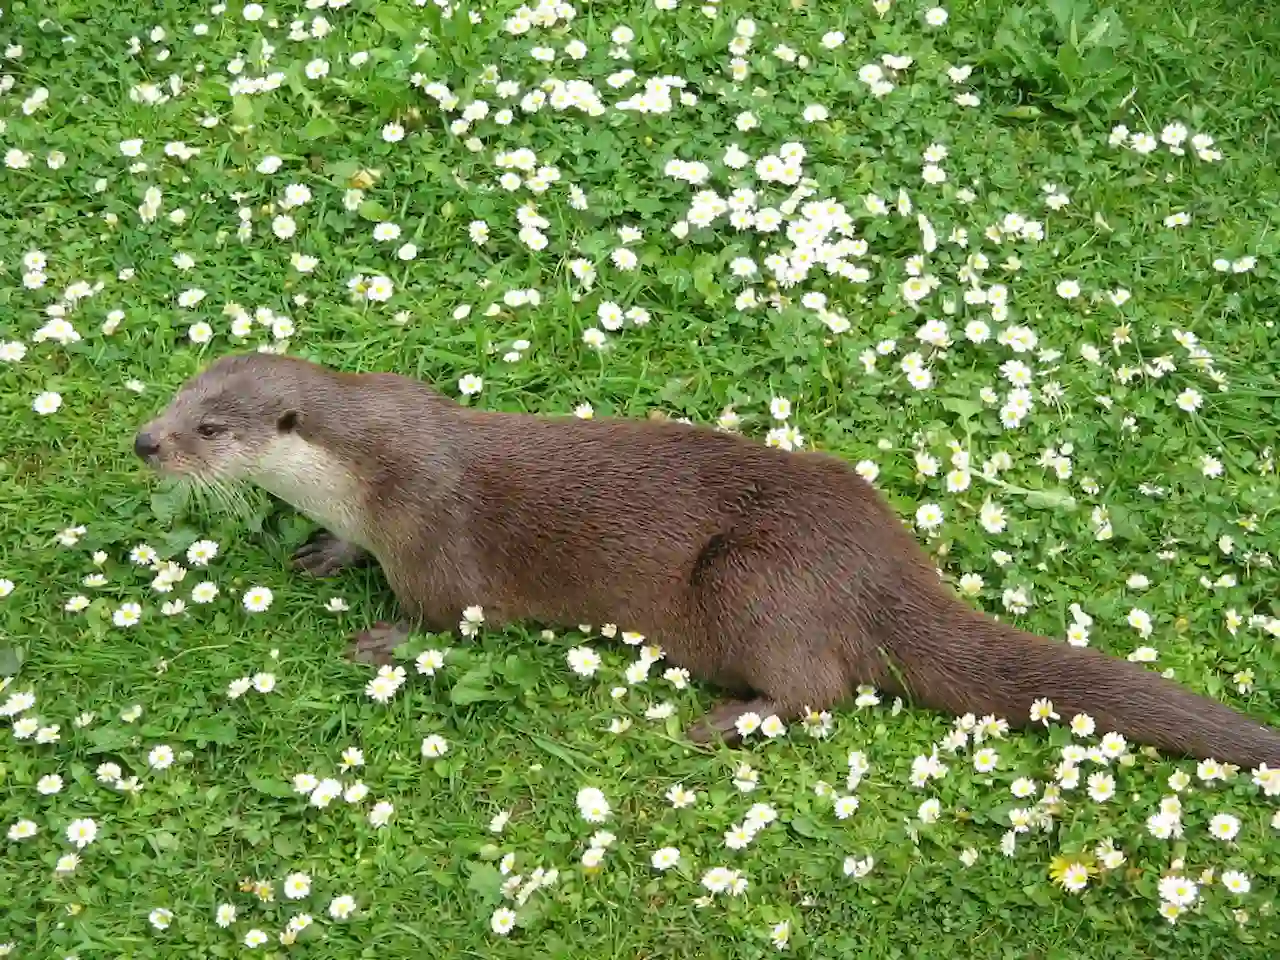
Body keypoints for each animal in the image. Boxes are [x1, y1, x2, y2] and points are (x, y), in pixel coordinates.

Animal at [135, 353, 1280, 768]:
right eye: (177, 397)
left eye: (211, 428)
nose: (146, 443)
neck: (368, 469)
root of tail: (881, 566)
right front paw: (323, 555)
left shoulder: (432, 537)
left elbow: (446, 620)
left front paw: (377, 641)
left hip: (755, 579)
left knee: (822, 687)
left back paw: (727, 720)